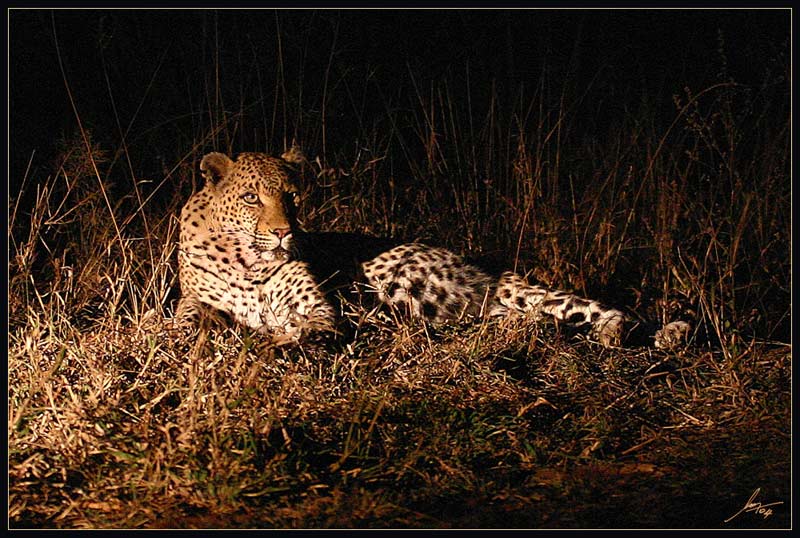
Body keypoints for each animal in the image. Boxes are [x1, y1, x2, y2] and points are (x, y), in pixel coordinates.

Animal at [176, 151, 690, 349]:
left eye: (293, 197)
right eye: (251, 198)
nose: (284, 232)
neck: (247, 259)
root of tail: (488, 270)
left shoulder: (320, 308)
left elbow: (313, 326)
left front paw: (276, 338)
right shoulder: (195, 298)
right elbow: (186, 318)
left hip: (409, 283)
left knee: (601, 311)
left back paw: (635, 332)